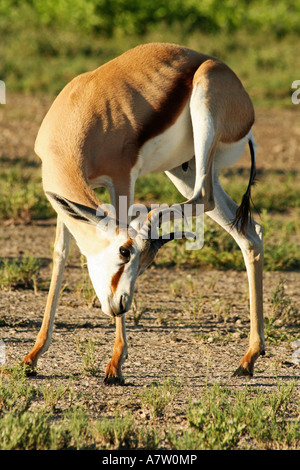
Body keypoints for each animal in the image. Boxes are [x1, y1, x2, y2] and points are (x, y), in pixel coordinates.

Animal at [22, 42, 264, 384]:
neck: (80, 113)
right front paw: (33, 356)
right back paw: (248, 359)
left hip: (202, 129)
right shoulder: (64, 201)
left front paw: (115, 366)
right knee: (249, 234)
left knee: (204, 197)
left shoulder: (123, 178)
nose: (121, 304)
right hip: (183, 169)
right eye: (124, 252)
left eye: (140, 259)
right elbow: (60, 255)